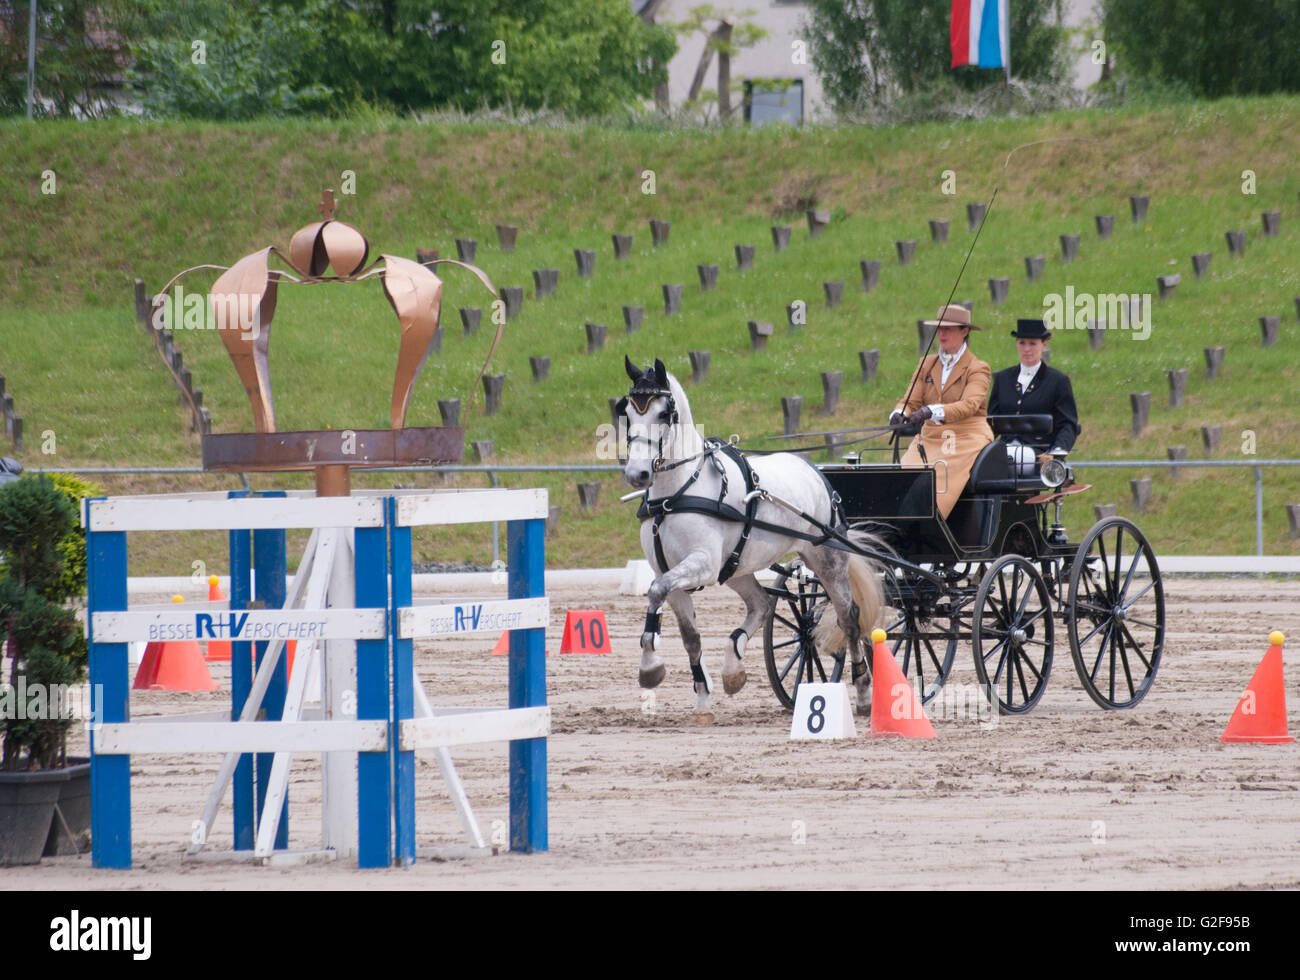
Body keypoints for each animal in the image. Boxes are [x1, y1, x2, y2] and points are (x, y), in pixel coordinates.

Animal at [616, 356, 883, 717]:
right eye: (628, 413)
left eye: (662, 414)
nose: (637, 474)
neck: (675, 495)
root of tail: (812, 469)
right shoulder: (670, 572)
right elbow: (689, 635)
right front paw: (701, 698)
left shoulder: (702, 564)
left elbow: (656, 593)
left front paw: (650, 669)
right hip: (735, 568)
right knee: (762, 604)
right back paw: (733, 669)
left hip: (826, 557)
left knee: (849, 618)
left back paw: (865, 693)